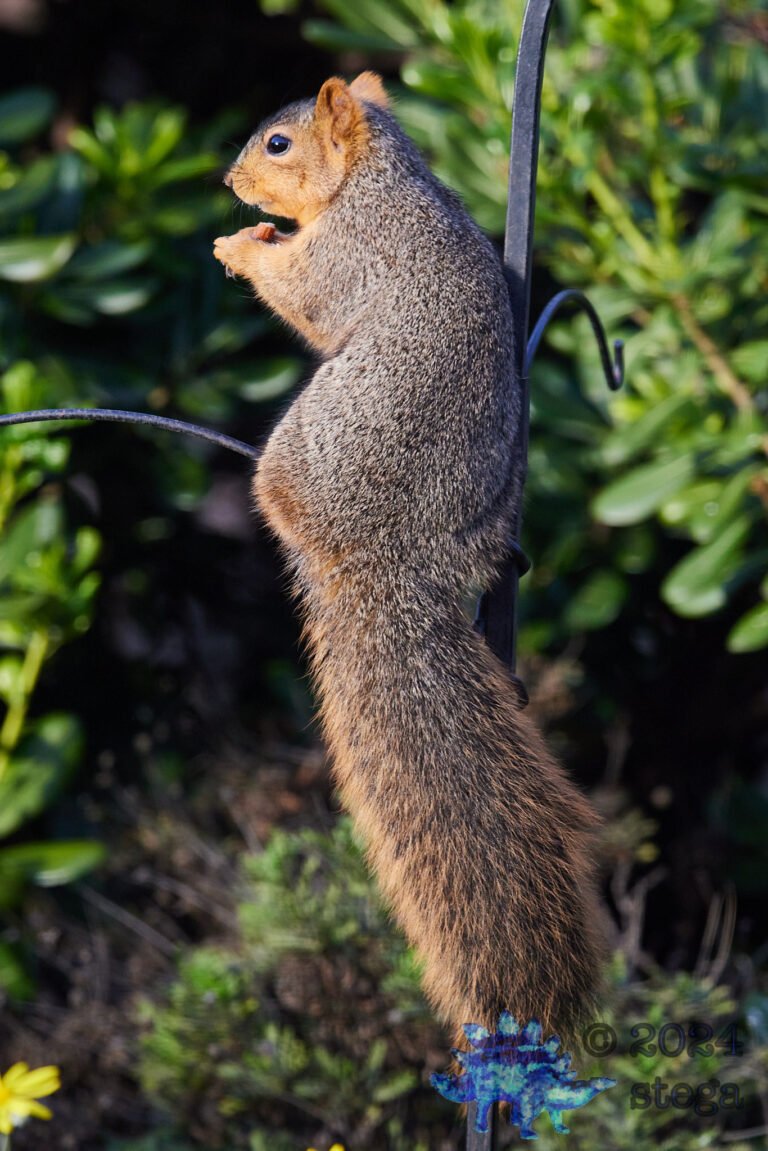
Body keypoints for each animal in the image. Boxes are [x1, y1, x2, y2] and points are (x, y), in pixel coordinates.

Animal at [213, 72, 605, 1043]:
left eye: (278, 144)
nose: (232, 183)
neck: (382, 179)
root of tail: (386, 558)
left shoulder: (352, 252)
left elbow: (306, 294)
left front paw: (243, 246)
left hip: (300, 447)